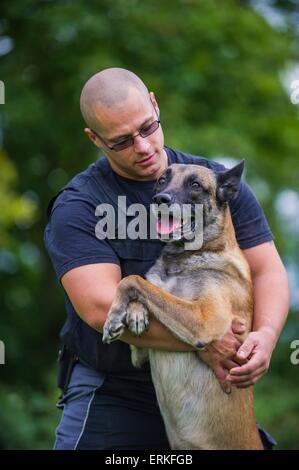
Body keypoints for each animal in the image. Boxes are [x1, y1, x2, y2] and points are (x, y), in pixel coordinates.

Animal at [103, 162, 264, 452]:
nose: (160, 199)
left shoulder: (204, 319)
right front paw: (133, 314)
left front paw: (116, 315)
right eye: (161, 180)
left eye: (195, 185)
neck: (184, 256)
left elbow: (132, 279)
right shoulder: (142, 352)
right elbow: (145, 287)